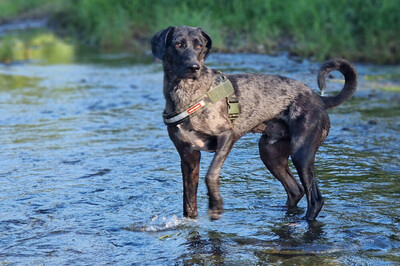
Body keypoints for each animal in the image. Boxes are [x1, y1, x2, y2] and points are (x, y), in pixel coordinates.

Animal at [150, 25, 356, 220]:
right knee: (296, 190)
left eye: (199, 46)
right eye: (178, 44)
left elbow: (211, 173)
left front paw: (216, 206)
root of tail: (318, 98)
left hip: (302, 154)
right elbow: (189, 203)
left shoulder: (226, 136)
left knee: (316, 199)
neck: (186, 93)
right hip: (269, 153)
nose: (194, 67)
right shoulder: (188, 156)